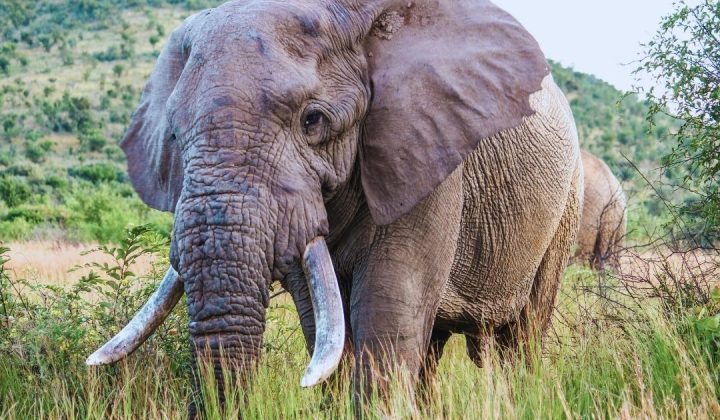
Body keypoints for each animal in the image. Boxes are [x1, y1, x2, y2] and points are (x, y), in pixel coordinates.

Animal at [86, 0, 583, 415]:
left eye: (313, 120)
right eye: (173, 135)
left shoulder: (425, 152)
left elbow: (388, 305)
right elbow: (322, 320)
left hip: (567, 206)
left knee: (522, 337)